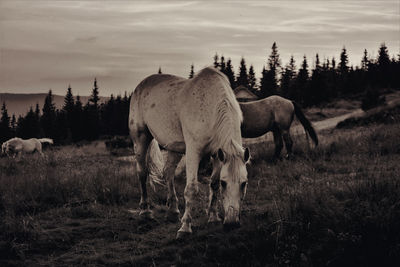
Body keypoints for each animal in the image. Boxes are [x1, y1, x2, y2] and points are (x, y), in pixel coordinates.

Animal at [130, 67, 250, 239]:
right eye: (225, 183)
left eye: (244, 183)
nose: (232, 223)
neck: (211, 107)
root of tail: (140, 86)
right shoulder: (194, 151)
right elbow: (192, 189)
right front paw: (185, 228)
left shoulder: (217, 155)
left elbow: (213, 184)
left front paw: (213, 217)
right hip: (140, 138)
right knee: (142, 172)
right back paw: (145, 211)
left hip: (174, 148)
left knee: (168, 172)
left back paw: (173, 211)